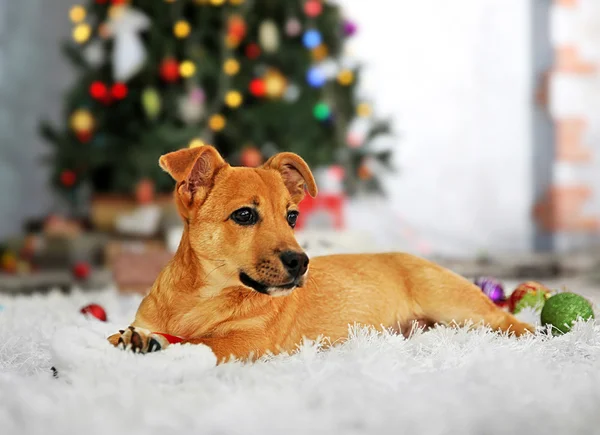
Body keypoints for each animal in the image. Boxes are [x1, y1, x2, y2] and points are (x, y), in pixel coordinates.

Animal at [106, 145, 528, 362]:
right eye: (244, 215)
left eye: (292, 216)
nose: (300, 262)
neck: (200, 296)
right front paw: (134, 338)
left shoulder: (245, 343)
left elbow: (198, 344)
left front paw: (157, 343)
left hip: (455, 303)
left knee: (507, 320)